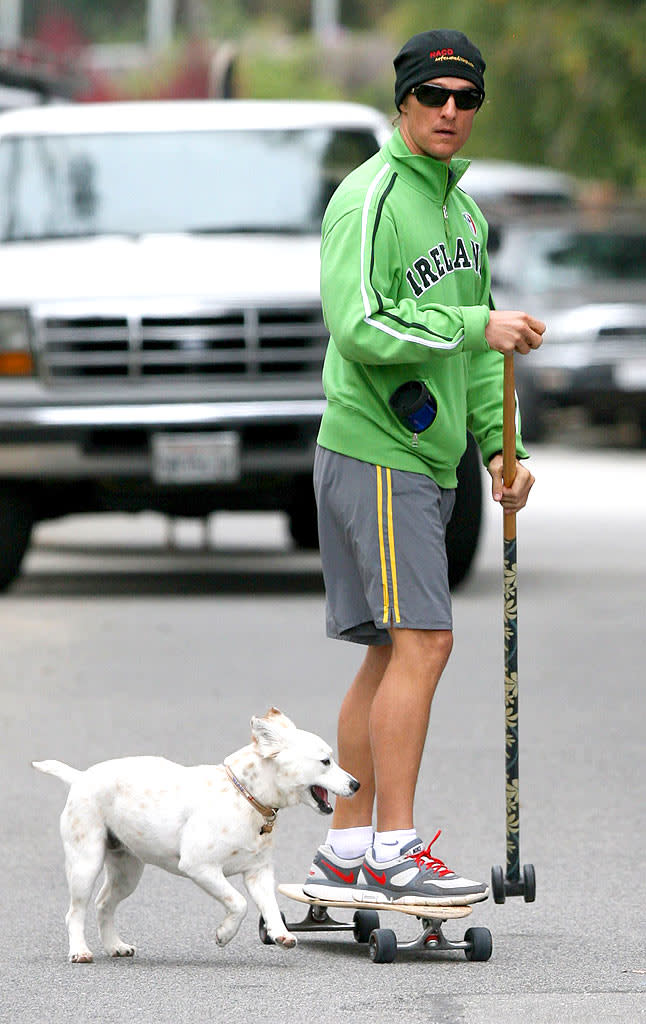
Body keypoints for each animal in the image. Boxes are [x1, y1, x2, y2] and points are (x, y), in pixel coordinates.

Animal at [32, 708, 358, 962]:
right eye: (325, 761)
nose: (356, 785)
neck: (245, 796)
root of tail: (80, 777)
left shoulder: (259, 873)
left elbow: (270, 907)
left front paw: (280, 934)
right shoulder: (201, 867)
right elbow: (238, 903)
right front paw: (224, 934)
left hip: (127, 872)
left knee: (103, 905)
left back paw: (116, 946)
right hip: (85, 864)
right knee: (75, 912)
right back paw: (80, 951)